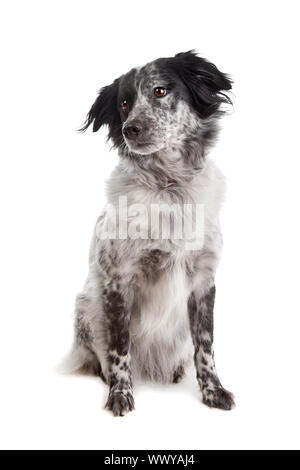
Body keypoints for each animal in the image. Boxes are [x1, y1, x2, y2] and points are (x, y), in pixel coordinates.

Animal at [68, 51, 234, 416]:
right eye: (124, 103)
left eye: (159, 90)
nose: (130, 128)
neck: (170, 189)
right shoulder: (117, 281)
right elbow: (119, 348)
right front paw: (120, 393)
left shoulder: (203, 281)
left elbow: (206, 345)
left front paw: (213, 390)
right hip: (87, 307)